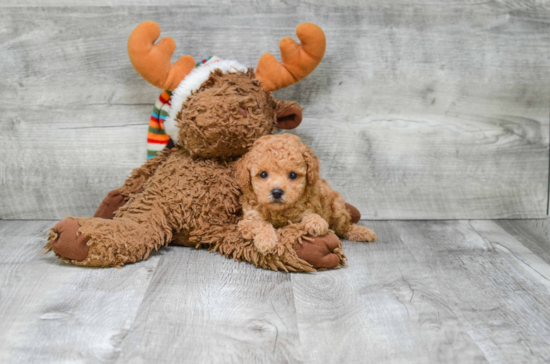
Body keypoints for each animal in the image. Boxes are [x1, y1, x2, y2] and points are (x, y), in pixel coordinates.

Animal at [235, 132, 378, 255]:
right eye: (263, 174)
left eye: (293, 175)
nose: (276, 192)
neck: (279, 212)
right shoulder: (248, 220)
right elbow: (261, 224)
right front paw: (266, 241)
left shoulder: (306, 210)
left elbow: (309, 216)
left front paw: (316, 222)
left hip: (337, 207)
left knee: (344, 227)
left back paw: (363, 232)